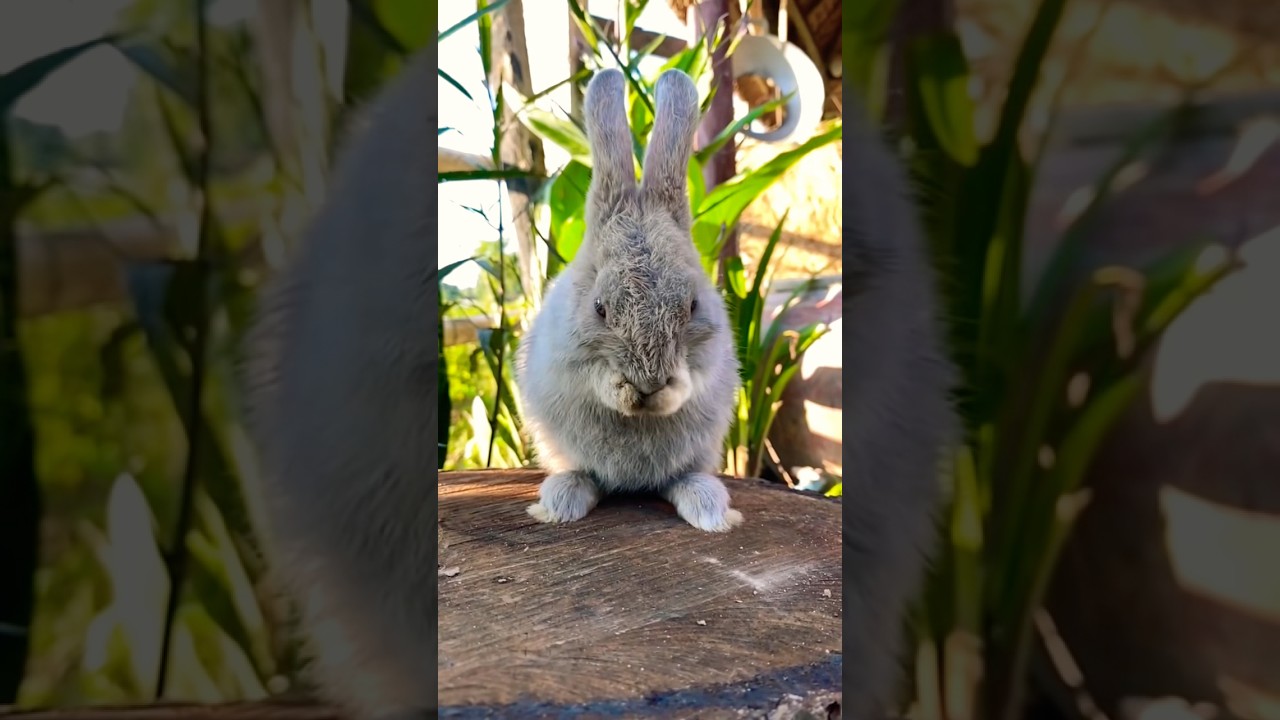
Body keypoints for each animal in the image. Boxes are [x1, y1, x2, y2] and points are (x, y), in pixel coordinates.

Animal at [516, 68, 745, 533]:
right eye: (600, 308)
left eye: (692, 306)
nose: (649, 383)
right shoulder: (569, 360)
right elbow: (595, 379)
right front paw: (623, 392)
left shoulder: (710, 359)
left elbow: (692, 381)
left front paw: (664, 394)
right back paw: (561, 501)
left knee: (679, 478)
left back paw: (709, 510)